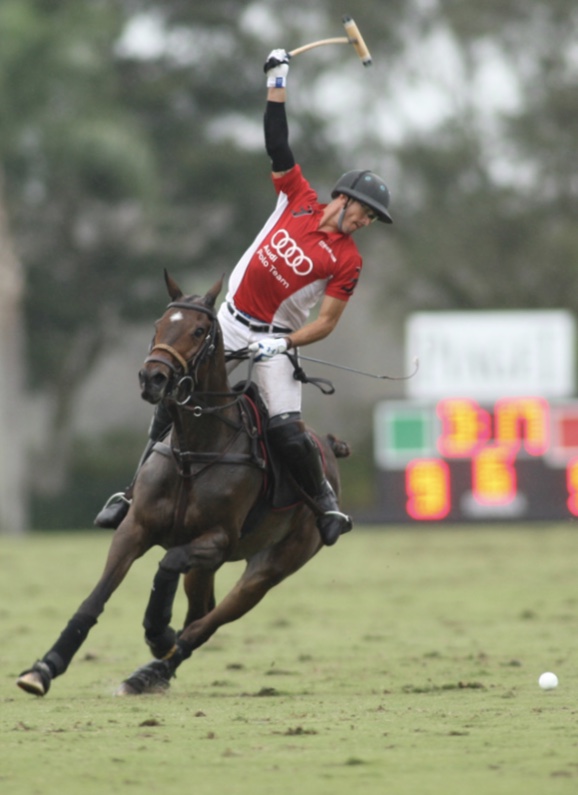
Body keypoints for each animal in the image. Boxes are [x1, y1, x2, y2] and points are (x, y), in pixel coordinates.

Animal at [18, 272, 348, 696]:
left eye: (198, 330)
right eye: (158, 325)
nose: (152, 378)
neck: (195, 449)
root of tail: (329, 449)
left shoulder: (218, 540)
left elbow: (168, 562)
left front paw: (159, 631)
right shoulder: (135, 527)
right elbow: (96, 598)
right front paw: (44, 667)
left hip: (271, 566)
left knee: (206, 623)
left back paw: (152, 669)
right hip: (209, 567)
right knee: (199, 612)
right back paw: (151, 670)